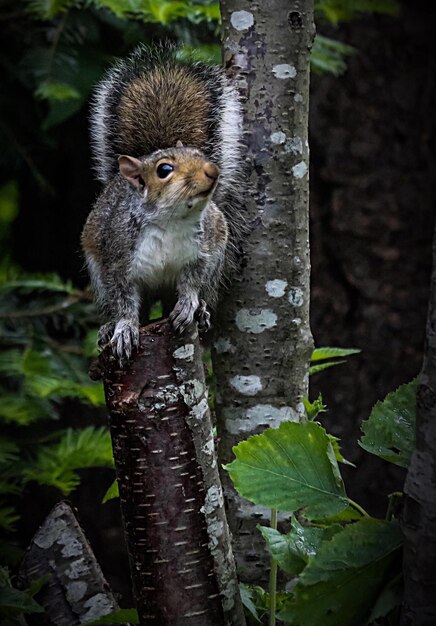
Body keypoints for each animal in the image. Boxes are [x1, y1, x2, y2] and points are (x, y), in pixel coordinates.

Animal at [82, 44, 244, 364]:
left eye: (200, 154)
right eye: (164, 170)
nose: (213, 171)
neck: (172, 221)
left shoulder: (202, 253)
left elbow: (192, 282)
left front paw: (190, 303)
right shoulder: (117, 260)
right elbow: (124, 301)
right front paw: (124, 328)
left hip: (218, 259)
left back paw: (201, 312)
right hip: (97, 272)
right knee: (126, 306)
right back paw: (108, 327)